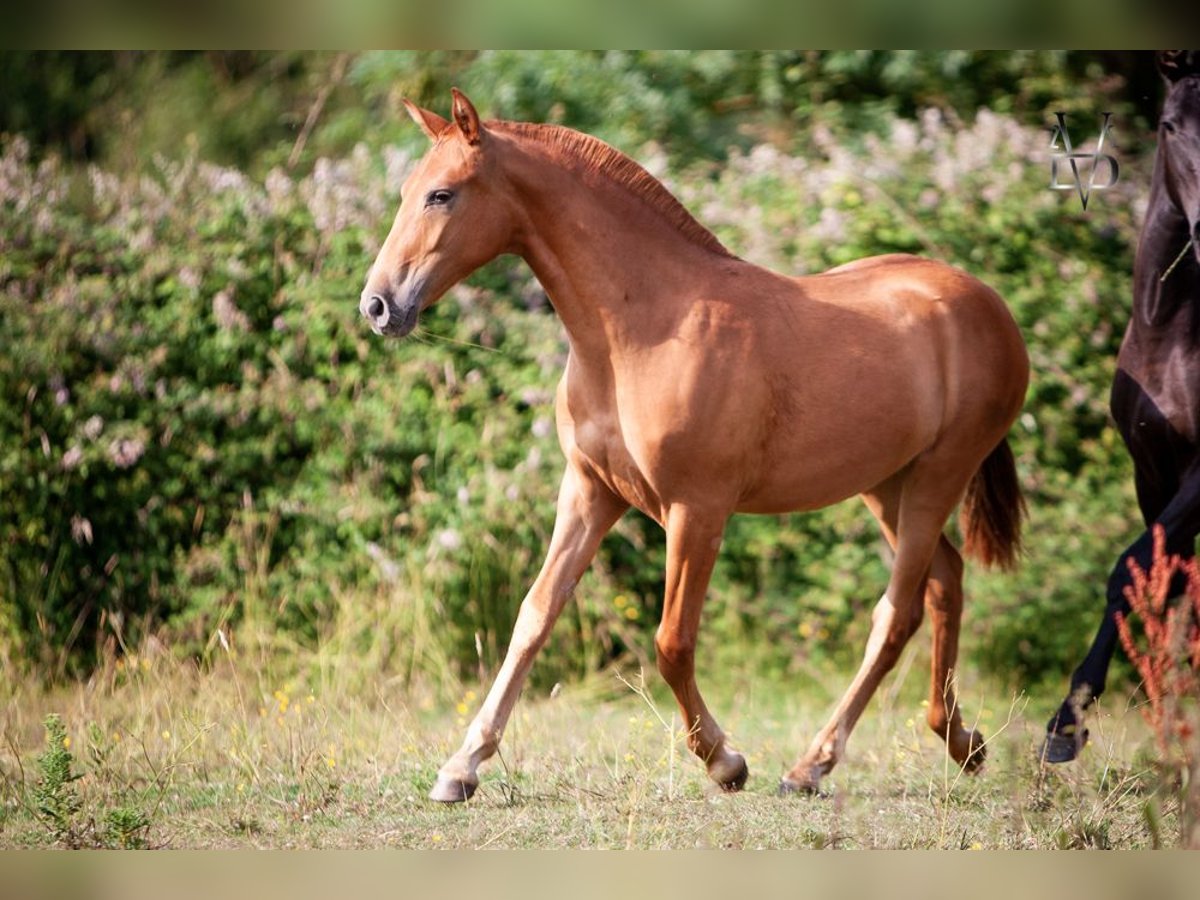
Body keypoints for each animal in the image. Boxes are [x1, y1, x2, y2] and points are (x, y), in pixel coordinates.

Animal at [360, 88, 1027, 801]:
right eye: (405, 191)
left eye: (442, 195)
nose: (377, 306)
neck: (645, 327)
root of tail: (986, 303)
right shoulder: (589, 492)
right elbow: (534, 616)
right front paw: (461, 767)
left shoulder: (697, 509)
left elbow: (672, 642)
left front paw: (725, 761)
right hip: (887, 486)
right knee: (945, 583)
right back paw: (961, 742)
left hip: (937, 477)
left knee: (896, 615)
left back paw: (812, 765)